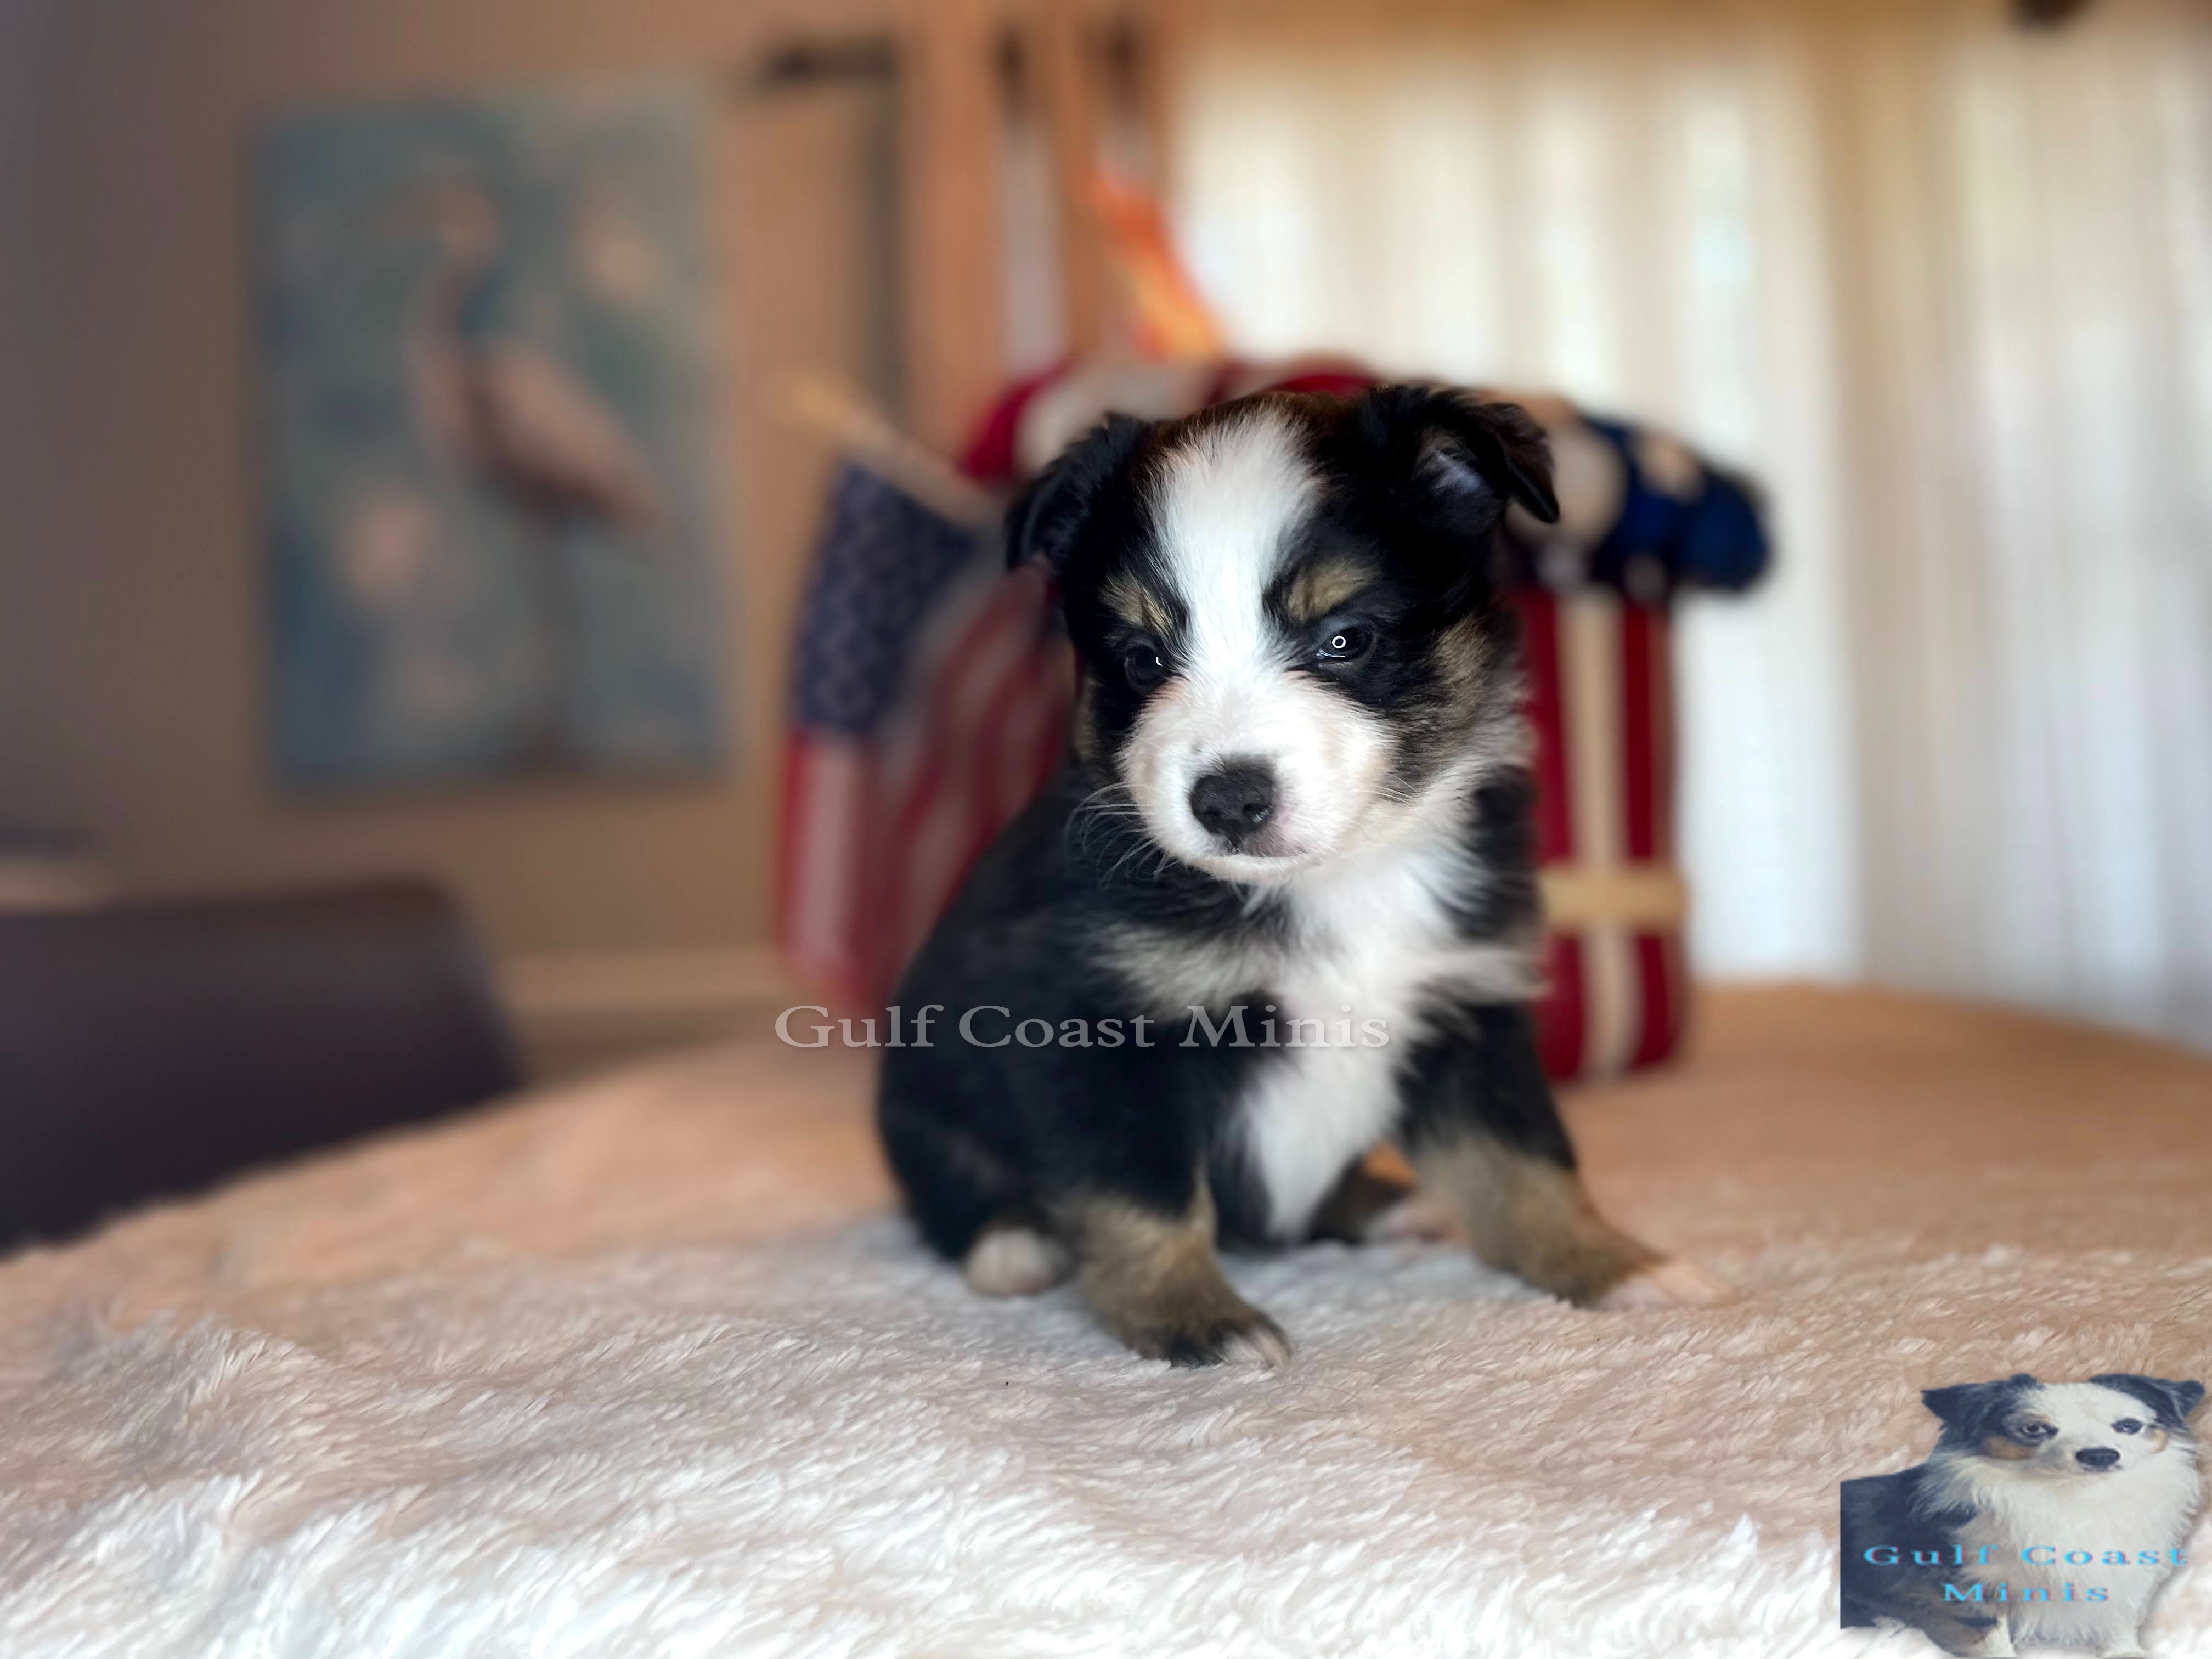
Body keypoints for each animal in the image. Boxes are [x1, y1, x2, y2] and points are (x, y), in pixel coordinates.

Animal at [877, 385, 1728, 1367]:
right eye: (1142, 659)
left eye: (1345, 639)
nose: (1228, 799)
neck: (1342, 878)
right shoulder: (1089, 1021)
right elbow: (1141, 1191)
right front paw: (1194, 1319)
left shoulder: (1468, 1005)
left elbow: (1527, 1163)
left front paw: (1617, 1266)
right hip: (922, 1087)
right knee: (952, 1184)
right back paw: (1015, 1242)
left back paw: (1390, 1205)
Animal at [1841, 1372, 2206, 1657]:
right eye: (2034, 1430)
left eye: (2128, 1426)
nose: (2100, 1455)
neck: (2072, 1496)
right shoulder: (1971, 1583)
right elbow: (1991, 1637)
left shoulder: (2126, 1571)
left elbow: (2118, 1614)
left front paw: (2124, 1653)